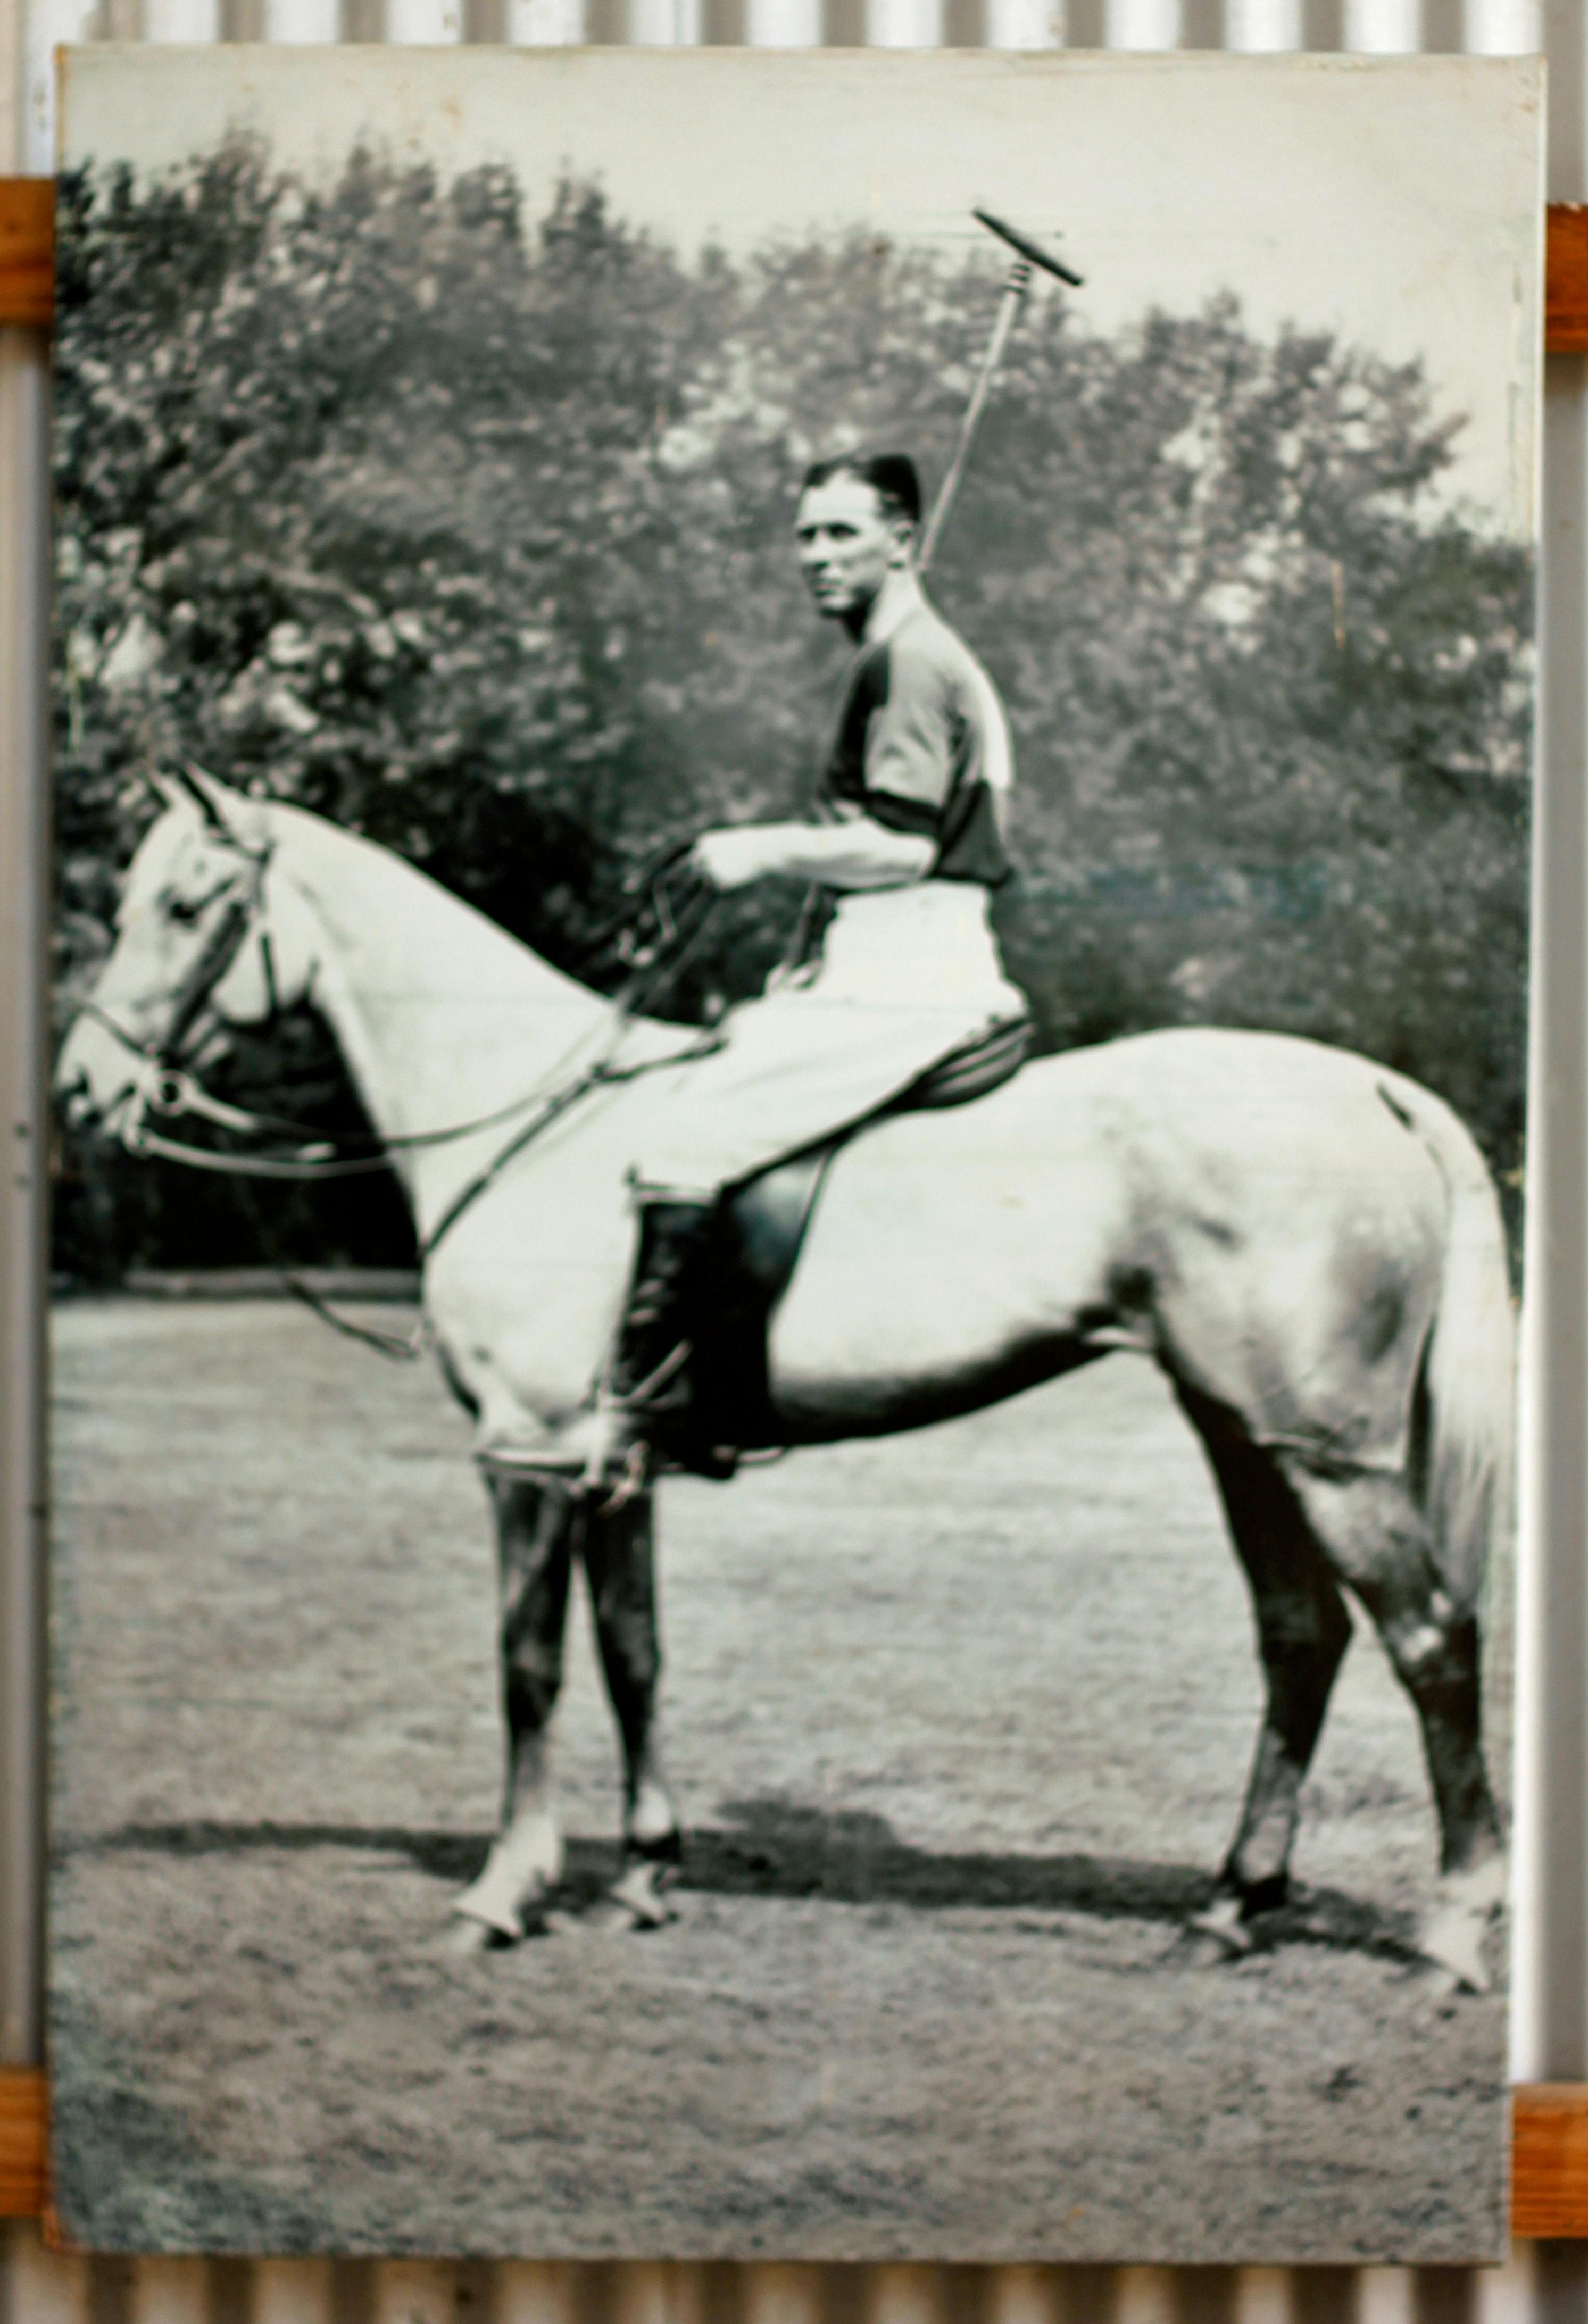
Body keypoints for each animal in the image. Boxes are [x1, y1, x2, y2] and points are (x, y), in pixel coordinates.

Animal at [55, 768, 1514, 1991]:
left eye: (186, 906)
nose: (82, 1086)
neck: (537, 1123)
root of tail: (1376, 1089)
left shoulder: (526, 1453)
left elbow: (528, 1664)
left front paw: (503, 1891)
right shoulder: (614, 1466)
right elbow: (634, 1651)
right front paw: (642, 1874)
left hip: (1325, 1453)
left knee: (1430, 1640)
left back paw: (1451, 1930)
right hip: (1239, 1432)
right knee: (1299, 1639)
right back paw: (1229, 1906)